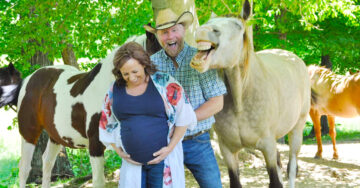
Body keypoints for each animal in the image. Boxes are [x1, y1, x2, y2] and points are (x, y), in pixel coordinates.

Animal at [0, 33, 161, 187]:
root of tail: (27, 81)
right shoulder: (96, 146)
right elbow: (99, 182)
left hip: (55, 135)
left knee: (47, 162)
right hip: (29, 133)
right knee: (24, 168)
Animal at [190, 0, 310, 187]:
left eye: (238, 26)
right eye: (209, 22)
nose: (203, 30)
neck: (241, 100)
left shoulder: (267, 146)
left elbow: (275, 180)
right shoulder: (227, 150)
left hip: (297, 129)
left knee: (292, 167)